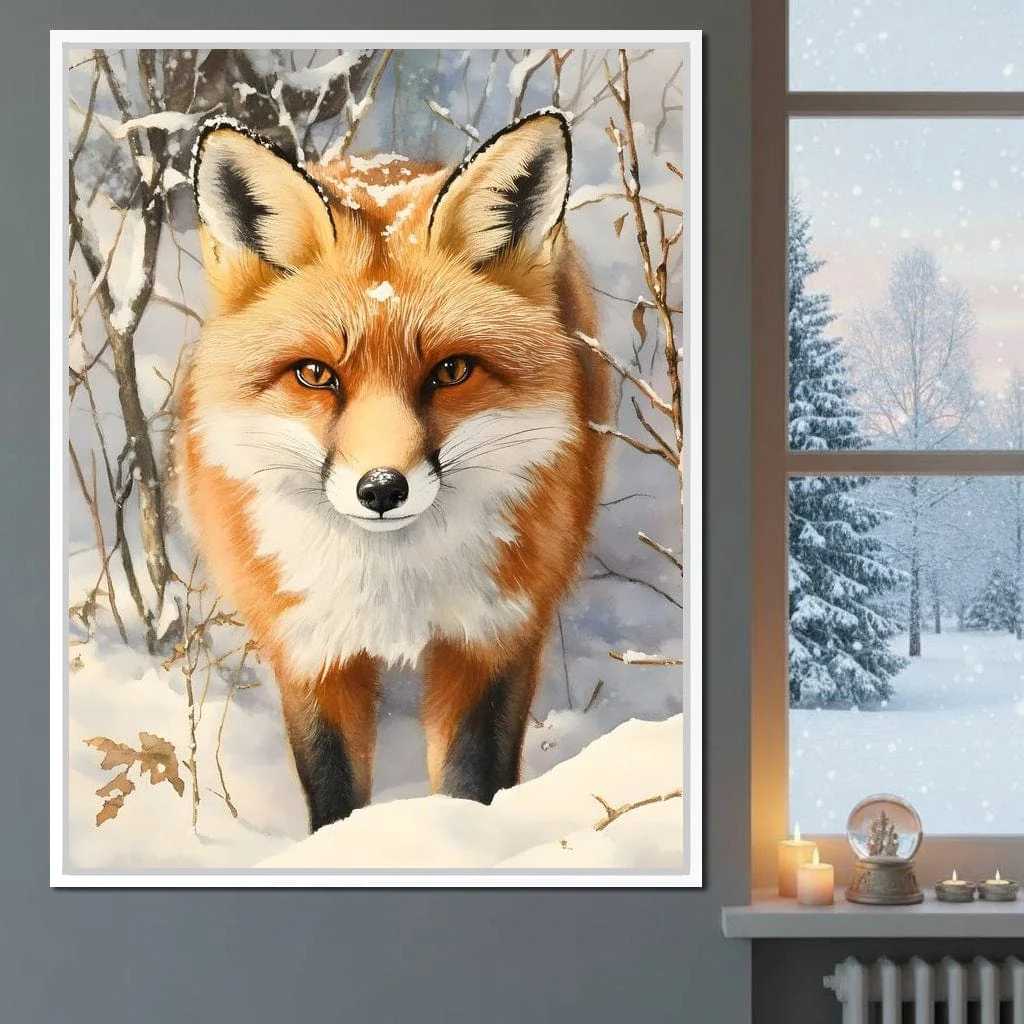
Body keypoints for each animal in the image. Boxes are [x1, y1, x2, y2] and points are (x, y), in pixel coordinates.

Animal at [175, 108, 611, 832]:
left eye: (451, 371)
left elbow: (470, 783)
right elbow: (333, 793)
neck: (392, 585)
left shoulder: (493, 637)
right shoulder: (309, 649)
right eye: (315, 375)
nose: (381, 488)